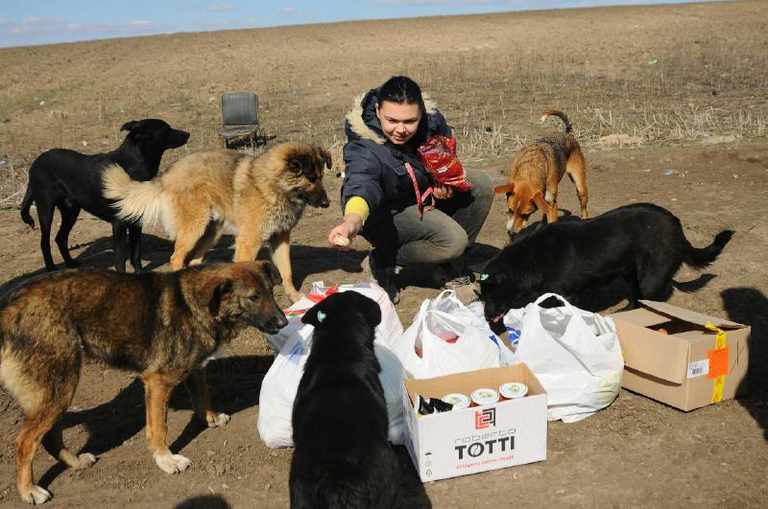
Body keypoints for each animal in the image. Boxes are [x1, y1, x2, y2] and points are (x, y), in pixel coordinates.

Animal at [19, 117, 189, 272]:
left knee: (60, 238)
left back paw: (70, 263)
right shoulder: (119, 224)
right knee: (45, 242)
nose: (188, 134)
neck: (131, 165)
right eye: (166, 129)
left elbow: (136, 254)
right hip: (46, 208)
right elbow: (120, 260)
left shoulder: (136, 222)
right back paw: (51, 268)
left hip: (71, 211)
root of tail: (35, 163)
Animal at [102, 143, 330, 302]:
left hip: (210, 233)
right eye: (310, 178)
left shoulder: (280, 239)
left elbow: (287, 271)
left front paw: (295, 297)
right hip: (194, 229)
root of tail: (166, 175)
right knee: (176, 258)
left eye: (321, 176)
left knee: (194, 261)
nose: (327, 203)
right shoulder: (249, 241)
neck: (275, 187)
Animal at [484, 200, 736, 320]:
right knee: (635, 299)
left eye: (494, 293)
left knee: (649, 301)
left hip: (651, 278)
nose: (486, 316)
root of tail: (677, 226)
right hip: (630, 273)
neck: (530, 257)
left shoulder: (567, 295)